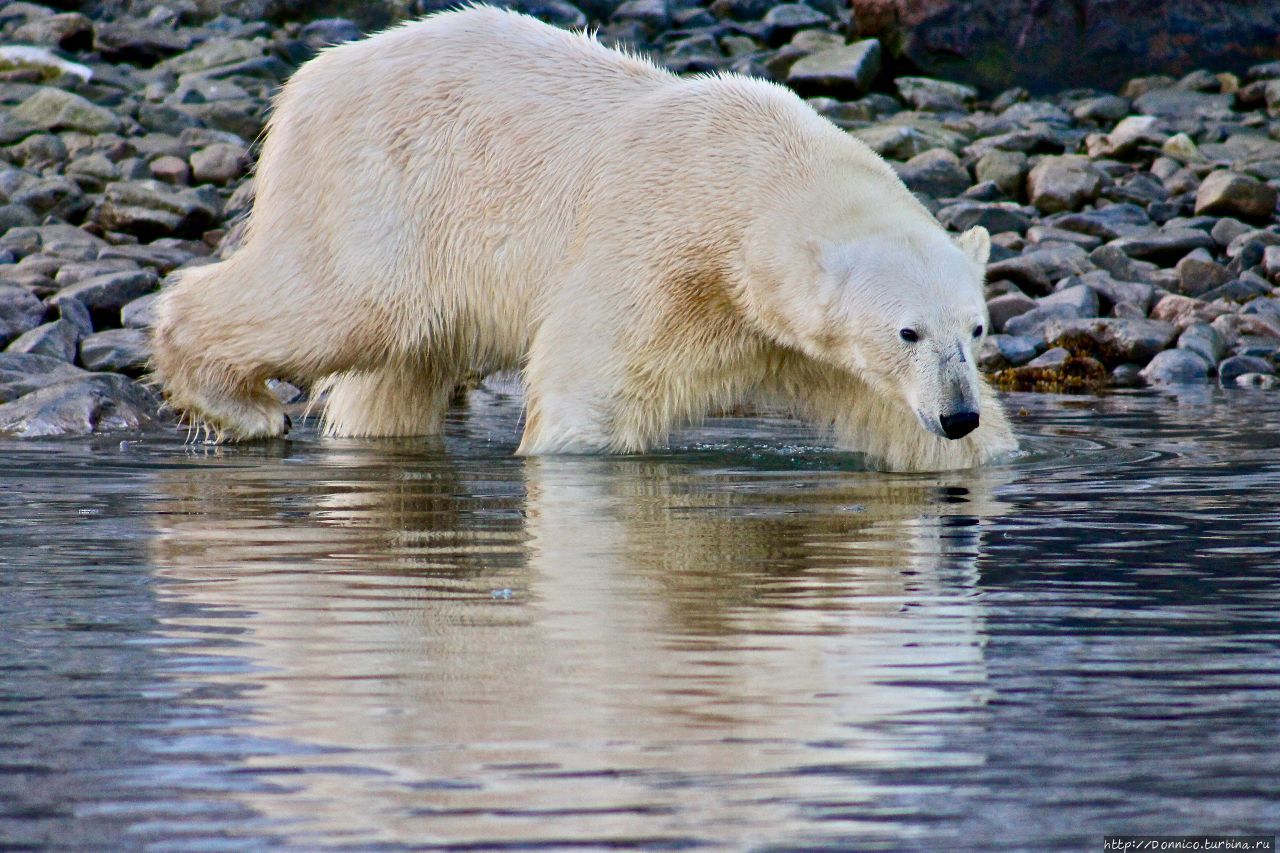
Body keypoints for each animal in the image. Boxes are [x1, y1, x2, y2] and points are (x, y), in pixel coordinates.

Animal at [149, 4, 1013, 471]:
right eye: (906, 330)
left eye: (975, 330)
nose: (957, 411)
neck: (750, 174)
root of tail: (309, 79)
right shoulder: (659, 245)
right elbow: (592, 378)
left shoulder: (796, 340)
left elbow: (898, 416)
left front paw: (973, 452)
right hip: (382, 194)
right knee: (345, 305)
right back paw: (240, 405)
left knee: (399, 369)